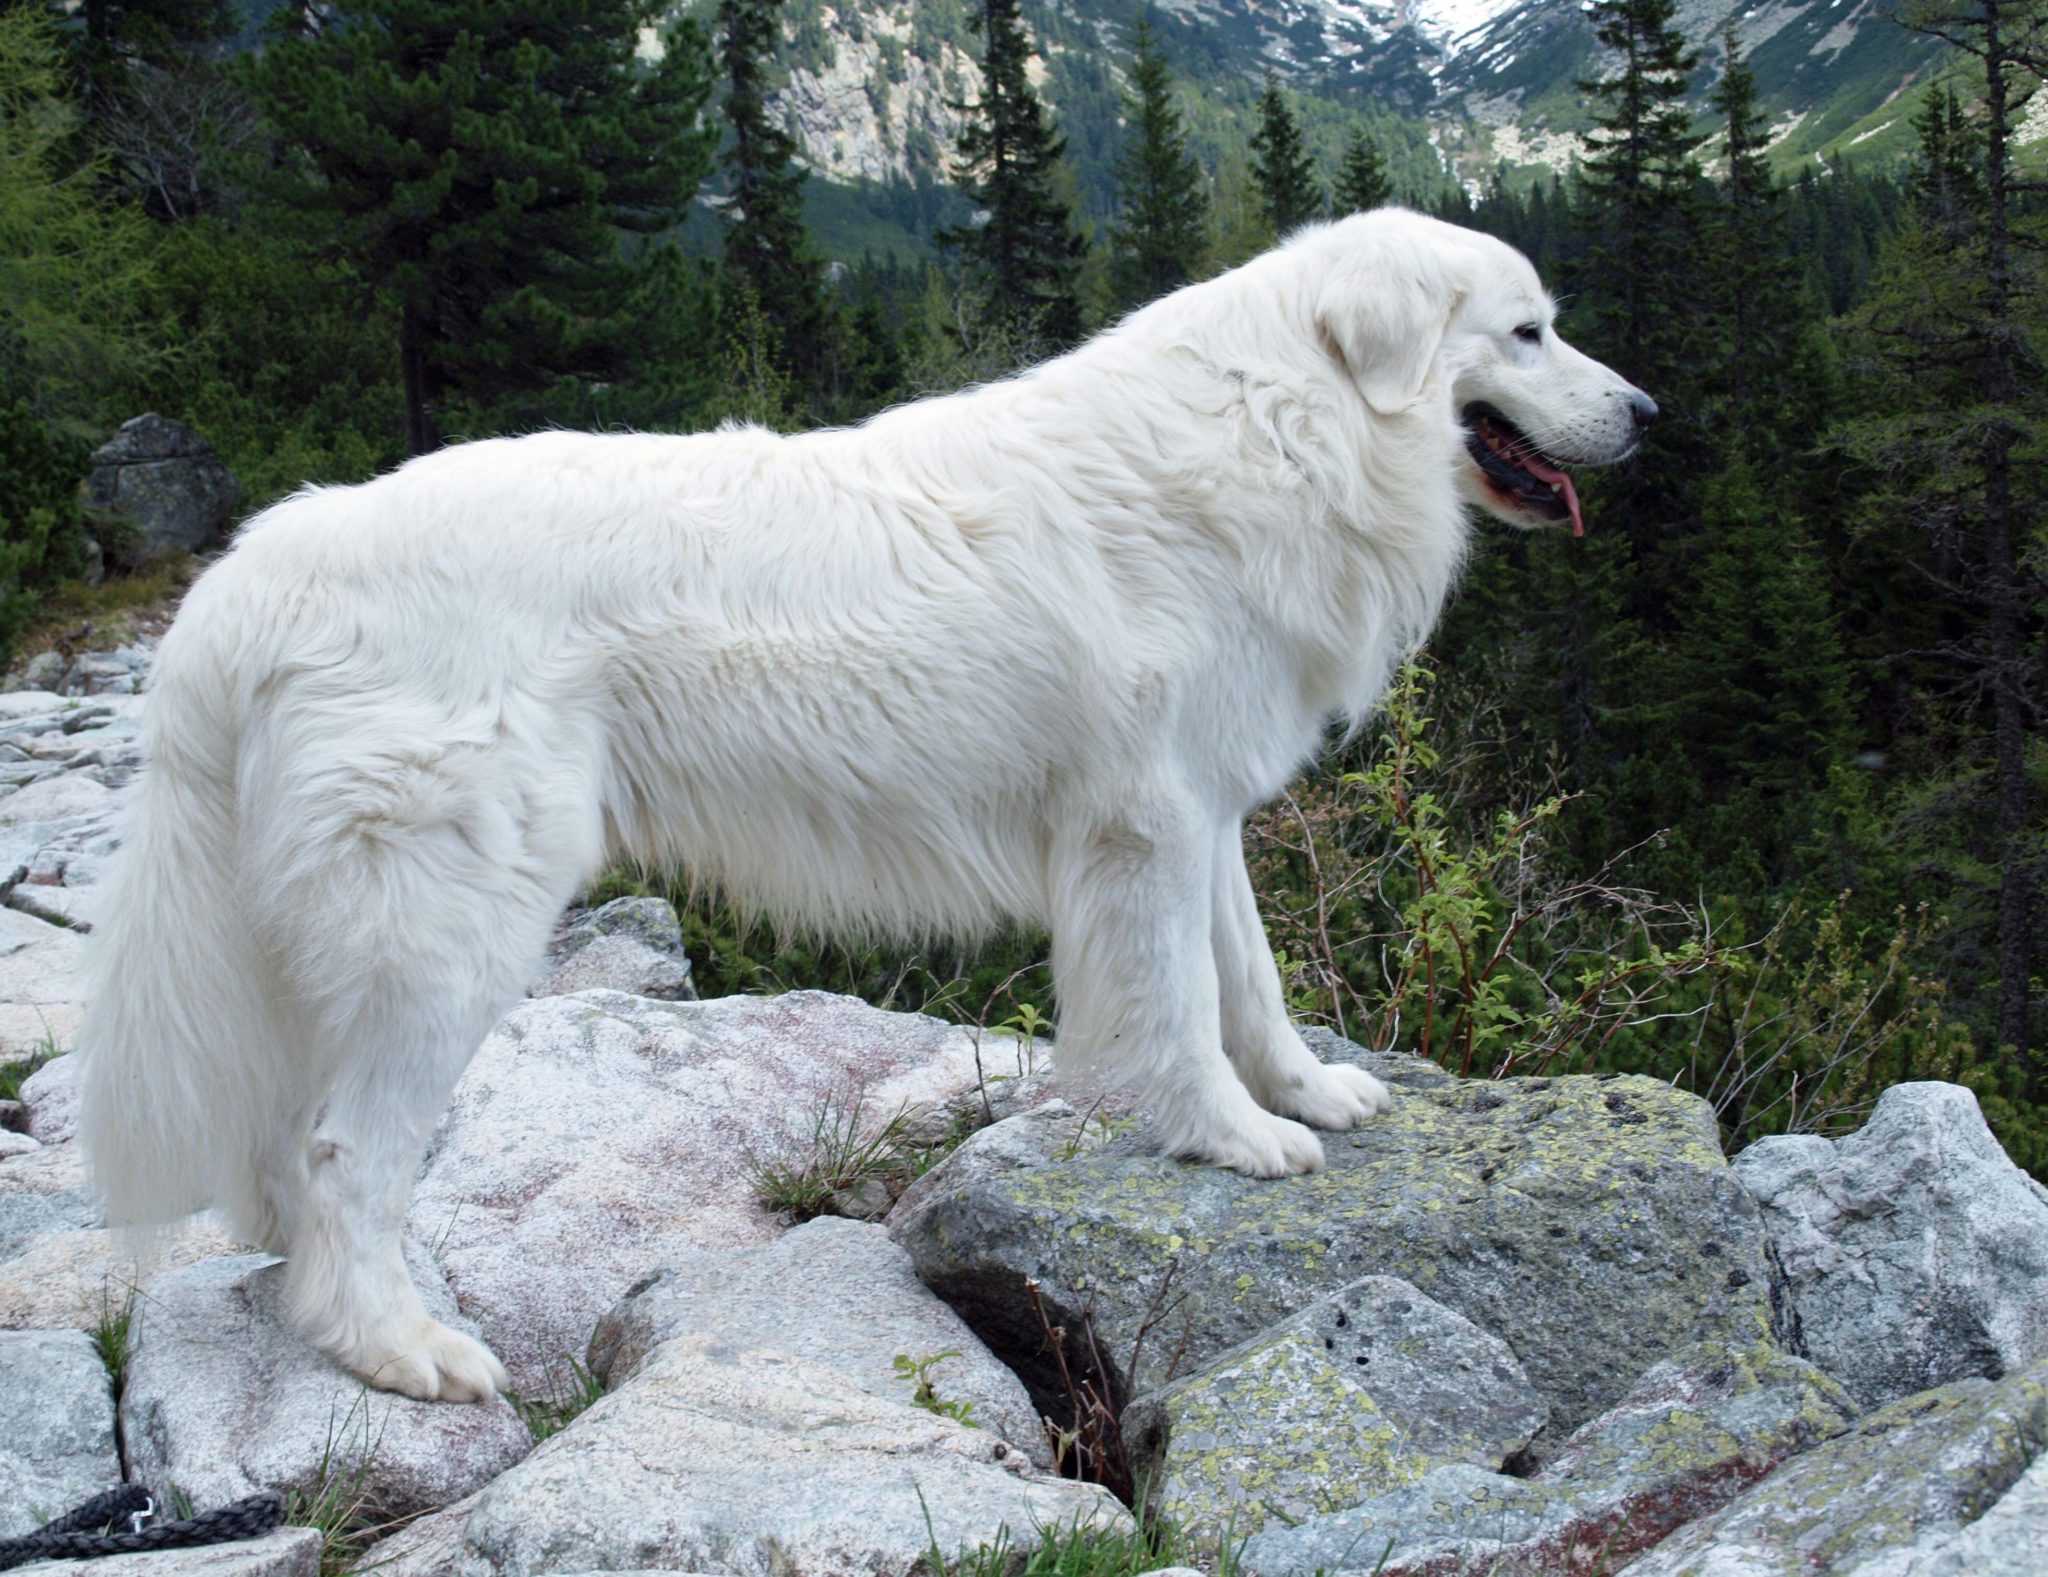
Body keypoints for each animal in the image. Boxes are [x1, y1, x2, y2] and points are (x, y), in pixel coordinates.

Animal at [79, 211, 1654, 1400]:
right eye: (1527, 331)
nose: (1649, 413)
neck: (1290, 422)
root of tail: (256, 566)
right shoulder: (1142, 823)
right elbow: (1178, 1010)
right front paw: (1229, 1138)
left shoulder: (1201, 809)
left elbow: (1250, 982)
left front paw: (1309, 1089)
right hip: (448, 933)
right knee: (346, 1154)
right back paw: (396, 1347)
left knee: (287, 1147)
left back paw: (315, 1303)